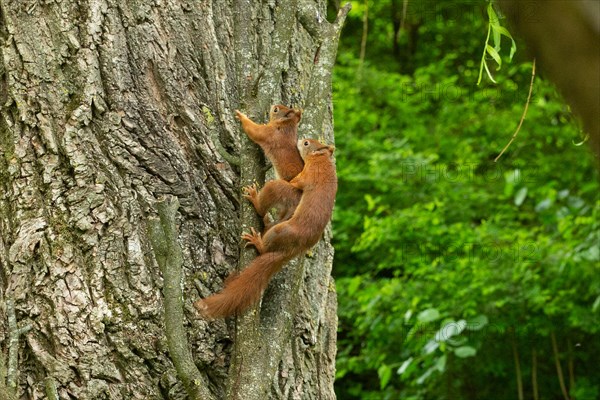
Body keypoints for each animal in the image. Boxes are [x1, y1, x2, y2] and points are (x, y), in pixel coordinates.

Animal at [196, 139, 338, 318]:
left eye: (306, 143)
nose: (300, 139)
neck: (322, 162)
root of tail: (296, 248)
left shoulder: (305, 176)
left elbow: (293, 181)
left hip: (281, 228)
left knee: (264, 245)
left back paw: (256, 222)